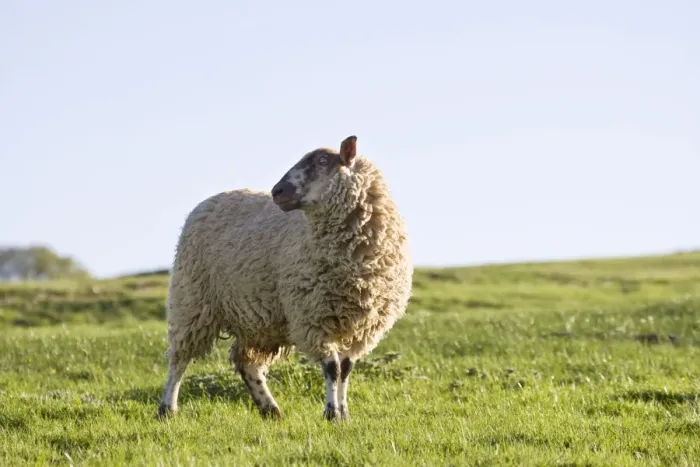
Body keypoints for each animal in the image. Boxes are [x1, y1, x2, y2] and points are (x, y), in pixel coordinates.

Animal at [158, 135, 413, 421]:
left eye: (322, 161)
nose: (277, 191)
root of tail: (210, 200)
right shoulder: (313, 317)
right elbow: (332, 368)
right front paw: (331, 413)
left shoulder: (363, 327)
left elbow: (345, 369)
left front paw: (344, 414)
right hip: (191, 299)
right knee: (179, 359)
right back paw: (167, 408)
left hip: (257, 320)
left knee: (247, 364)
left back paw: (270, 408)